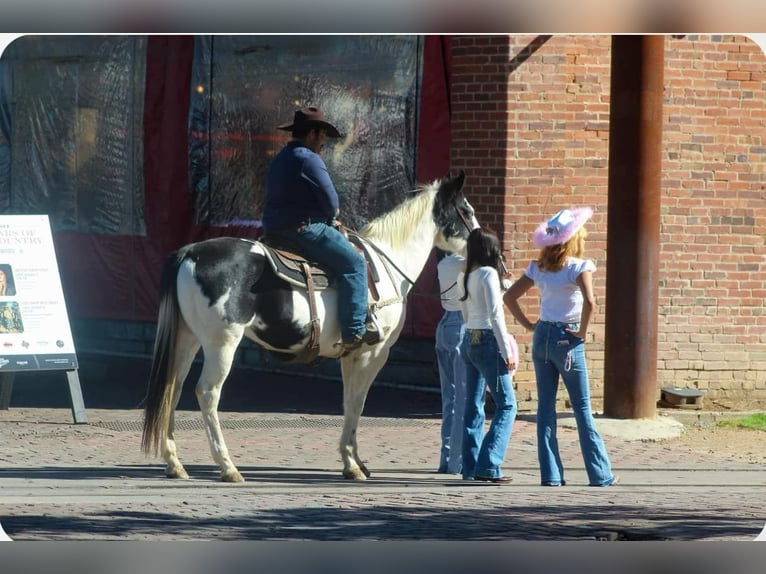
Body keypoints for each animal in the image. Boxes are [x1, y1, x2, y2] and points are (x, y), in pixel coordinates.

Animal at [143, 170, 476, 482]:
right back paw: (228, 466)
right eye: (466, 210)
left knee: (173, 389)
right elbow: (357, 403)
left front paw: (354, 461)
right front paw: (353, 464)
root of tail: (190, 252)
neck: (387, 263)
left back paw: (175, 464)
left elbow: (348, 402)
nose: (483, 244)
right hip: (221, 343)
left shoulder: (351, 354)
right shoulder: (374, 353)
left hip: (187, 340)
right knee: (208, 393)